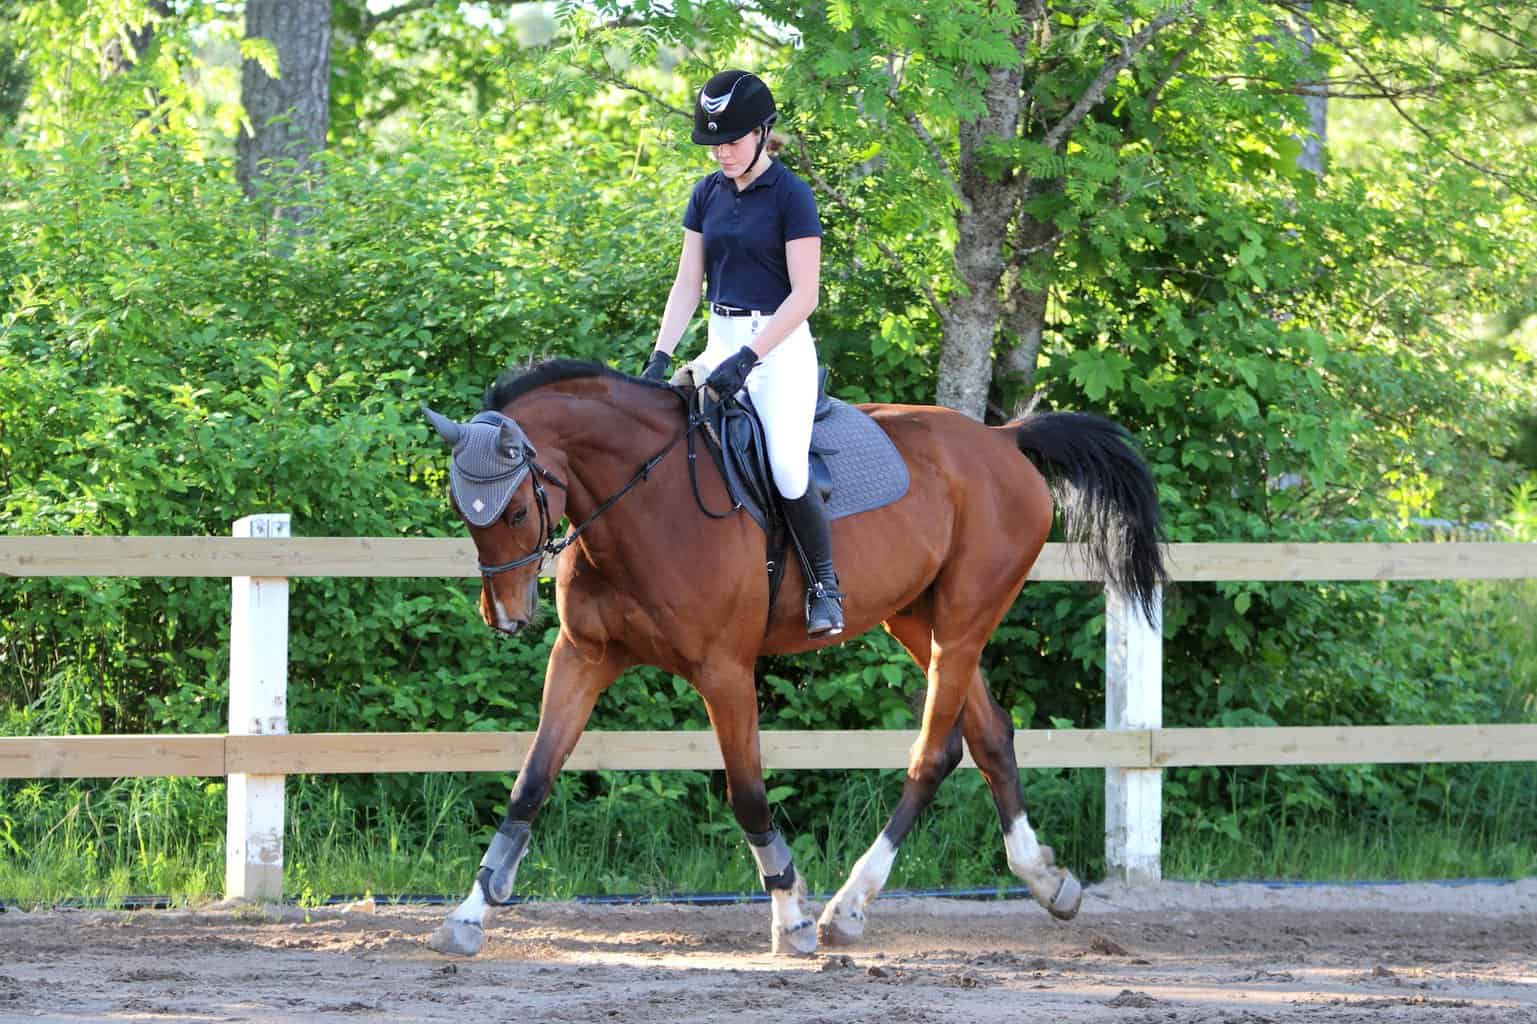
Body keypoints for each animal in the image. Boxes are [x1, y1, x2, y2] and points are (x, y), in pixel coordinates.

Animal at [421, 361, 1161, 959]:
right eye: (463, 508)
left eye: (516, 511)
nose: (506, 616)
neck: (644, 501)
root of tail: (1003, 440)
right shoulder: (583, 657)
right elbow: (531, 783)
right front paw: (468, 915)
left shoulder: (724, 670)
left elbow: (748, 794)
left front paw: (791, 916)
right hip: (917, 618)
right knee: (986, 735)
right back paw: (1046, 880)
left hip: (963, 619)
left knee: (931, 753)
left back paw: (847, 907)